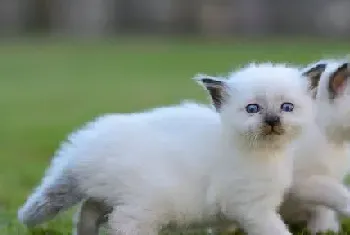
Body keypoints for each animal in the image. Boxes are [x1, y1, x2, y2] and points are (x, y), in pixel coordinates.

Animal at [17, 63, 314, 234]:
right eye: (253, 109)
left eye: (287, 107)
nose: (272, 120)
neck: (268, 154)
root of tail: (81, 150)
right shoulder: (251, 207)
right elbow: (276, 230)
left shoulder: (230, 214)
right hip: (145, 207)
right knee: (119, 223)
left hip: (108, 196)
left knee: (87, 213)